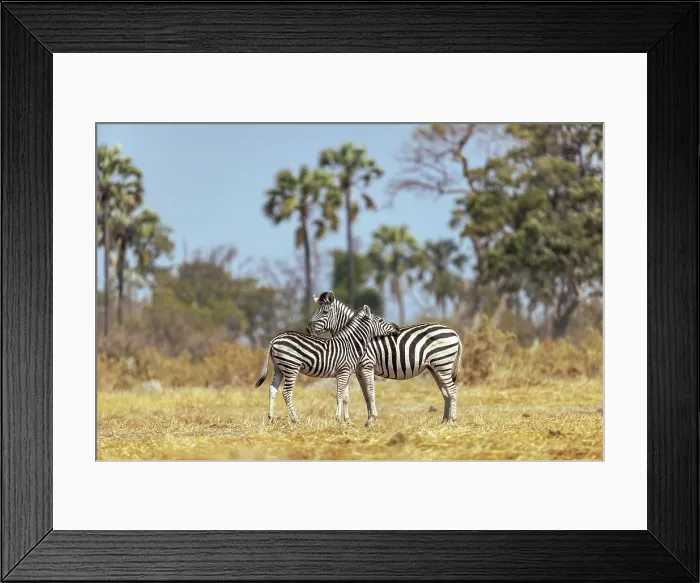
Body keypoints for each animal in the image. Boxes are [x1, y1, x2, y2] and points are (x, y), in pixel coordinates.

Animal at [255, 304, 400, 423]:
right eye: (380, 320)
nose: (397, 327)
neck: (351, 344)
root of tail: (275, 339)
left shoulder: (347, 373)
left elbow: (345, 397)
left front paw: (347, 421)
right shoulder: (343, 371)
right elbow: (339, 394)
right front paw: (338, 418)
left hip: (279, 368)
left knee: (272, 389)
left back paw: (271, 418)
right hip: (291, 367)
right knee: (286, 392)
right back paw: (295, 419)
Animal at [305, 291, 463, 426]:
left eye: (325, 312)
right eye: (313, 312)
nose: (307, 329)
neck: (355, 338)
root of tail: (454, 332)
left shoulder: (367, 366)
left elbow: (370, 393)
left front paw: (371, 420)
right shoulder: (356, 370)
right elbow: (360, 395)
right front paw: (360, 420)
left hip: (442, 363)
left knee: (452, 390)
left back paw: (453, 420)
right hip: (435, 367)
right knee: (446, 392)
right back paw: (444, 421)